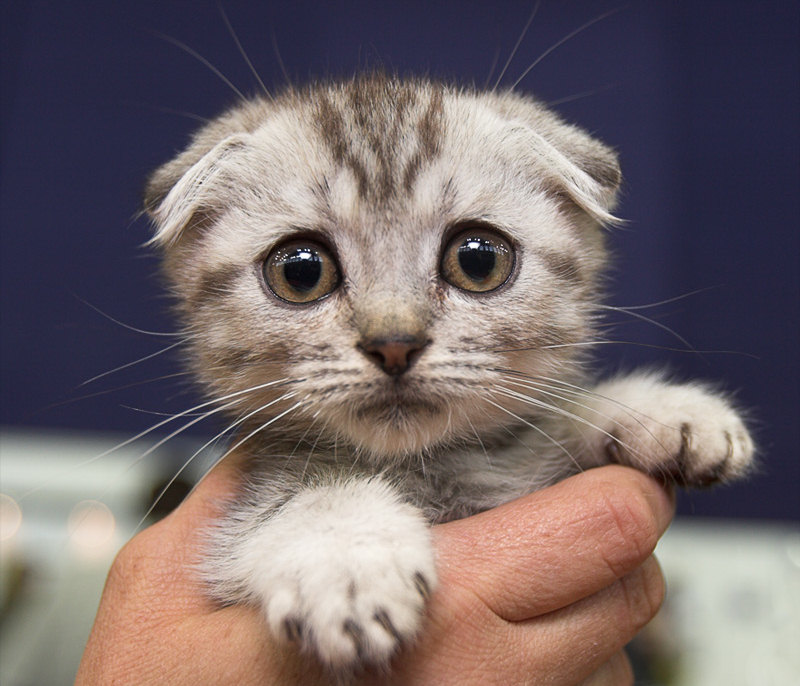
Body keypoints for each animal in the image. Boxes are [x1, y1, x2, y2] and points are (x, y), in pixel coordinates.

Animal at [145, 74, 756, 672]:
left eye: (478, 259)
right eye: (301, 271)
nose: (394, 344)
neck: (433, 469)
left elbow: (552, 418)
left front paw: (660, 411)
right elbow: (290, 501)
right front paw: (346, 562)